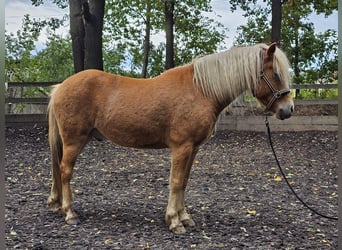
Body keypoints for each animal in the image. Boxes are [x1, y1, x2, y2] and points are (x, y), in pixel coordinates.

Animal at [46, 42, 294, 232]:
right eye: (276, 74)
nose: (288, 109)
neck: (200, 90)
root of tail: (61, 87)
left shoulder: (193, 148)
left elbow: (183, 182)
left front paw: (184, 217)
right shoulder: (181, 147)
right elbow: (175, 182)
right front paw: (174, 221)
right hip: (74, 141)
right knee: (65, 171)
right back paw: (70, 213)